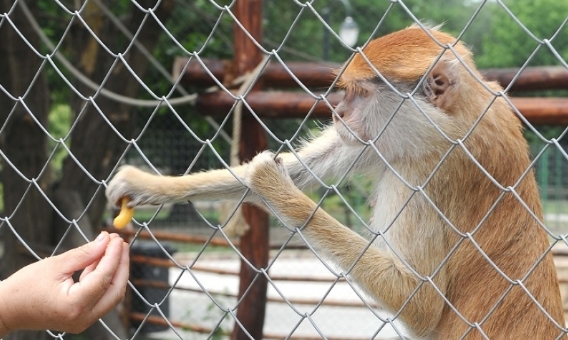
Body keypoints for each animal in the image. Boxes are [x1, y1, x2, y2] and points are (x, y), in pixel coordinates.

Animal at [104, 25, 564, 338]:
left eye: (361, 93)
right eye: (347, 93)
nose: (339, 113)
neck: (459, 116)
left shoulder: (429, 176)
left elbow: (422, 302)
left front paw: (272, 185)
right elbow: (301, 167)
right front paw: (143, 184)